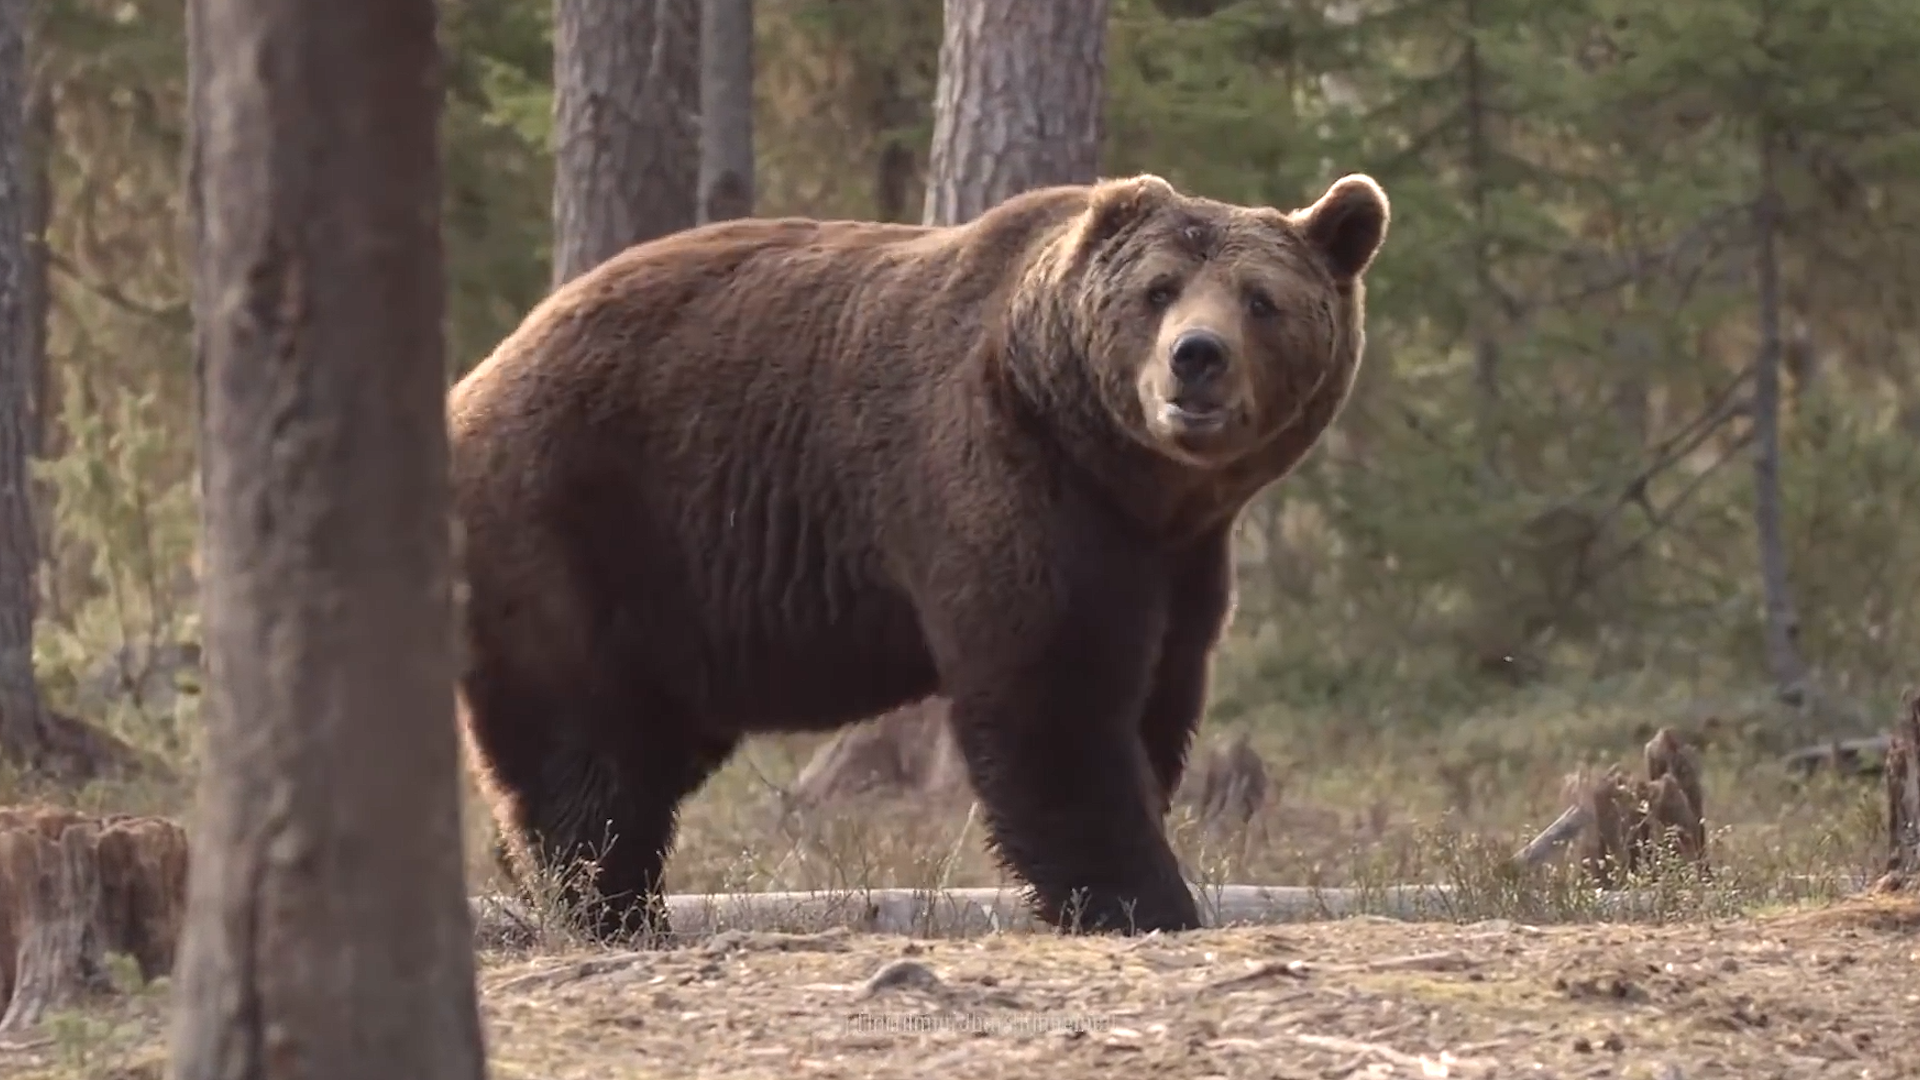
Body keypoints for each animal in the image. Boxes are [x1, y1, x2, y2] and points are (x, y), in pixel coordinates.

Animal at [455, 168, 1397, 933]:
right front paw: (1144, 899)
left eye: (1260, 298)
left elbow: (1155, 697)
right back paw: (609, 906)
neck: (1127, 476)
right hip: (575, 528)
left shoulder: (1179, 557)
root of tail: (473, 379)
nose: (1195, 359)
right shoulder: (1006, 481)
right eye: (1158, 291)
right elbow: (1054, 702)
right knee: (585, 751)